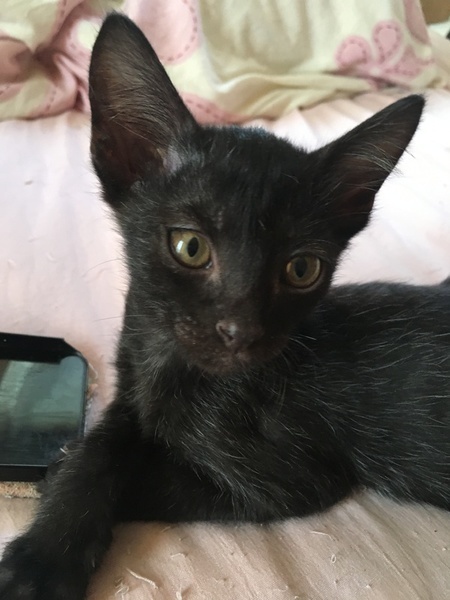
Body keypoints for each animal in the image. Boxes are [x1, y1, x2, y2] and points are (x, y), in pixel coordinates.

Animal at [1, 12, 449, 600]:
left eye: (302, 269)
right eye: (190, 246)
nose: (242, 330)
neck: (165, 368)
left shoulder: (290, 482)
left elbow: (144, 476)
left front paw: (42, 556)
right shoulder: (128, 397)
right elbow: (101, 447)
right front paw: (54, 535)